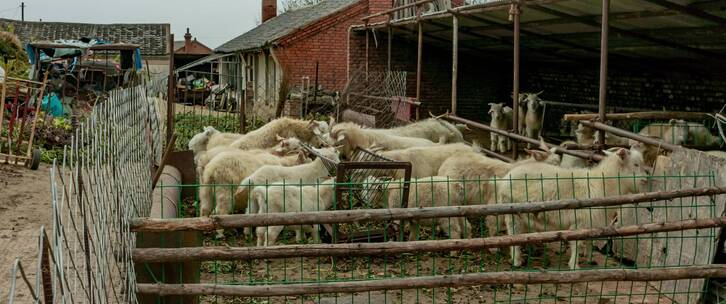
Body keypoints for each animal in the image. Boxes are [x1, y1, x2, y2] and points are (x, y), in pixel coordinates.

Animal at [498, 148, 652, 270]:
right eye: (636, 164)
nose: (646, 178)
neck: (601, 184)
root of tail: (506, 177)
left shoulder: (592, 222)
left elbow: (590, 242)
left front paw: (590, 260)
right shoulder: (579, 222)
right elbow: (577, 245)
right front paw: (574, 265)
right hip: (512, 213)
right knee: (513, 235)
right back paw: (517, 261)